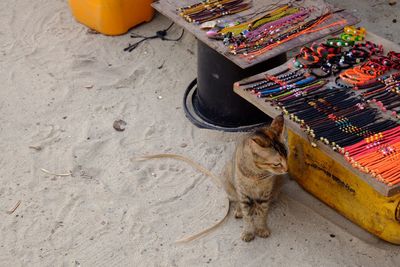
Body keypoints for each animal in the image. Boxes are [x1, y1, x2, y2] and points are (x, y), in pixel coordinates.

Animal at [219, 115, 288, 243]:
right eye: (277, 164)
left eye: (287, 156)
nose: (287, 169)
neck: (257, 175)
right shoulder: (243, 193)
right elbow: (247, 216)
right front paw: (248, 232)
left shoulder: (265, 194)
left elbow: (262, 213)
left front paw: (261, 229)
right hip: (226, 176)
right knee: (237, 200)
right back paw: (239, 210)